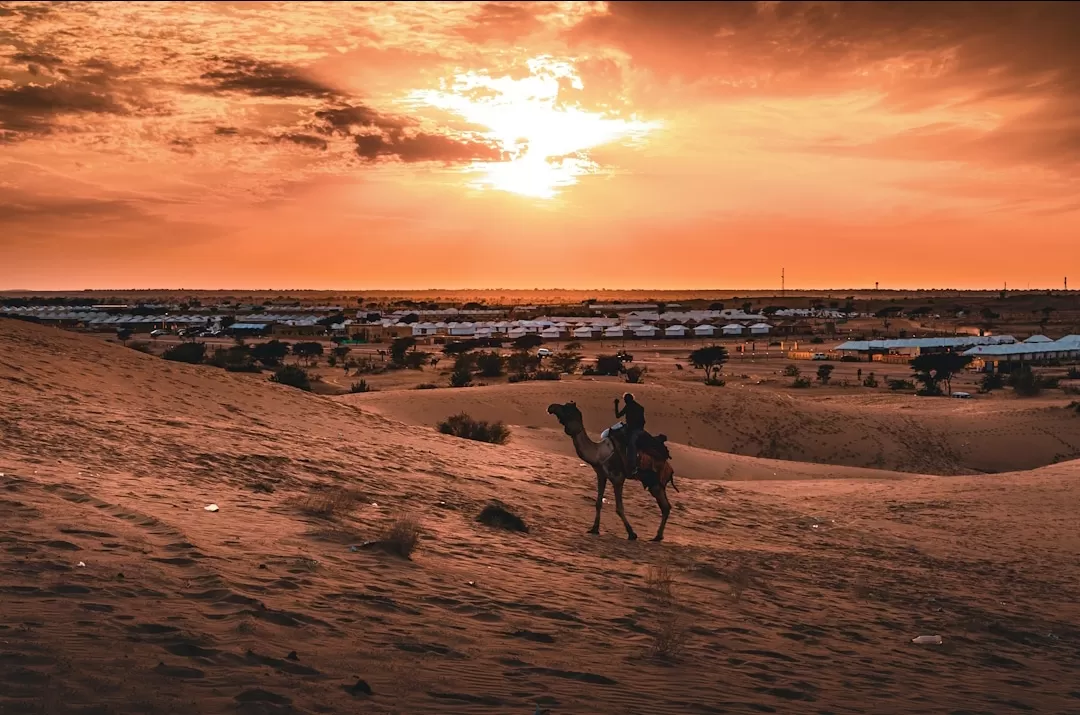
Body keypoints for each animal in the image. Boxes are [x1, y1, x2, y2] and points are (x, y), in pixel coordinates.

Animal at [552, 403, 669, 544]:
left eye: (567, 409)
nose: (551, 407)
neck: (598, 453)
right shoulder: (601, 475)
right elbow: (598, 503)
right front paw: (594, 529)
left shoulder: (617, 478)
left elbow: (619, 508)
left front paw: (632, 534)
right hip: (652, 482)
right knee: (666, 506)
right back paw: (658, 536)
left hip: (656, 482)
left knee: (665, 506)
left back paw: (657, 537)